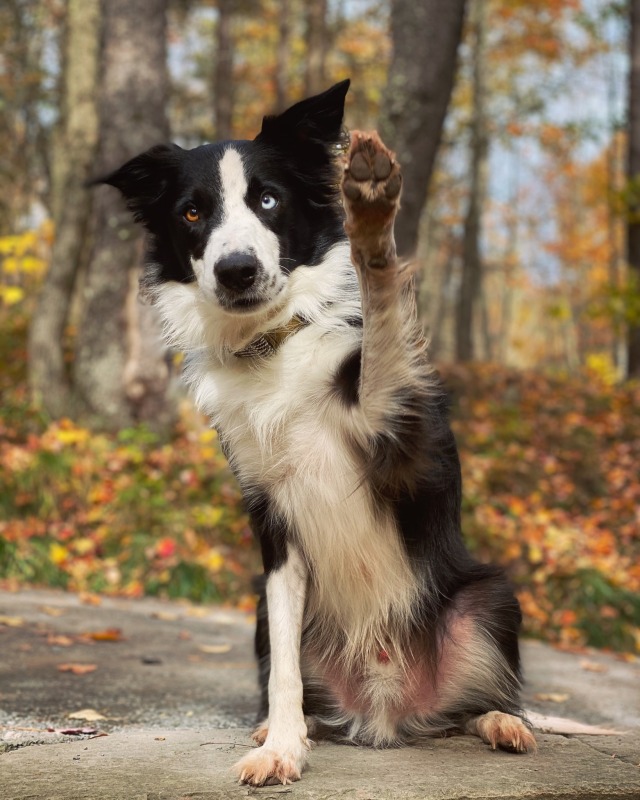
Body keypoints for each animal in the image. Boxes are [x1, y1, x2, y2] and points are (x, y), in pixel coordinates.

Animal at [102, 83, 536, 788]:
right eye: (193, 212)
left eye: (268, 200)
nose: (237, 270)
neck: (275, 344)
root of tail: (386, 715)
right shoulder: (274, 525)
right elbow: (283, 665)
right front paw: (282, 745)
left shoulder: (400, 441)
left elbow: (384, 316)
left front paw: (372, 217)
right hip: (262, 614)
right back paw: (294, 728)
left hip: (487, 598)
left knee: (473, 706)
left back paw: (504, 721)